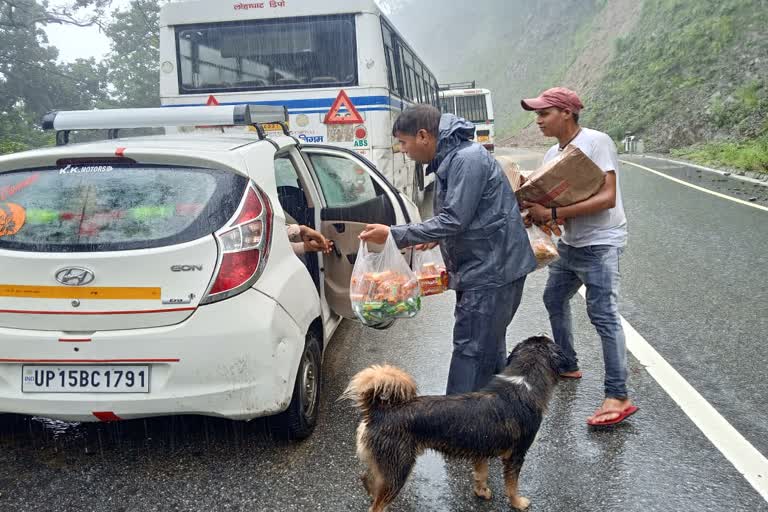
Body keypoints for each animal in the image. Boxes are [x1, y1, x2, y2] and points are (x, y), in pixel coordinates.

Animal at [342, 334, 564, 510]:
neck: (523, 384)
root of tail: (378, 412)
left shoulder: (481, 450)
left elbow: (481, 474)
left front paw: (481, 492)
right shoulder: (516, 455)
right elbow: (511, 485)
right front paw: (518, 503)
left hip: (385, 465)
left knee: (367, 480)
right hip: (398, 468)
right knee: (377, 505)